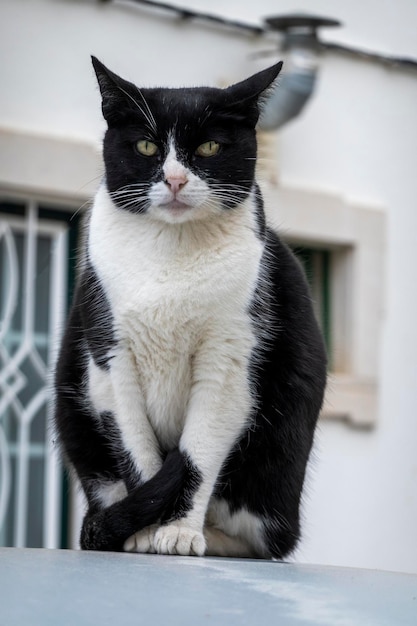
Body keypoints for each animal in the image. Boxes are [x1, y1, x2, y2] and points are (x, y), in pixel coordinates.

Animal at [53, 57, 326, 556]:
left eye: (210, 146)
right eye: (146, 145)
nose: (176, 179)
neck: (170, 250)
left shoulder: (229, 359)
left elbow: (196, 458)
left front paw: (178, 531)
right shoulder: (109, 360)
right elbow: (139, 457)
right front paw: (144, 532)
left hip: (276, 465)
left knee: (266, 540)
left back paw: (213, 537)